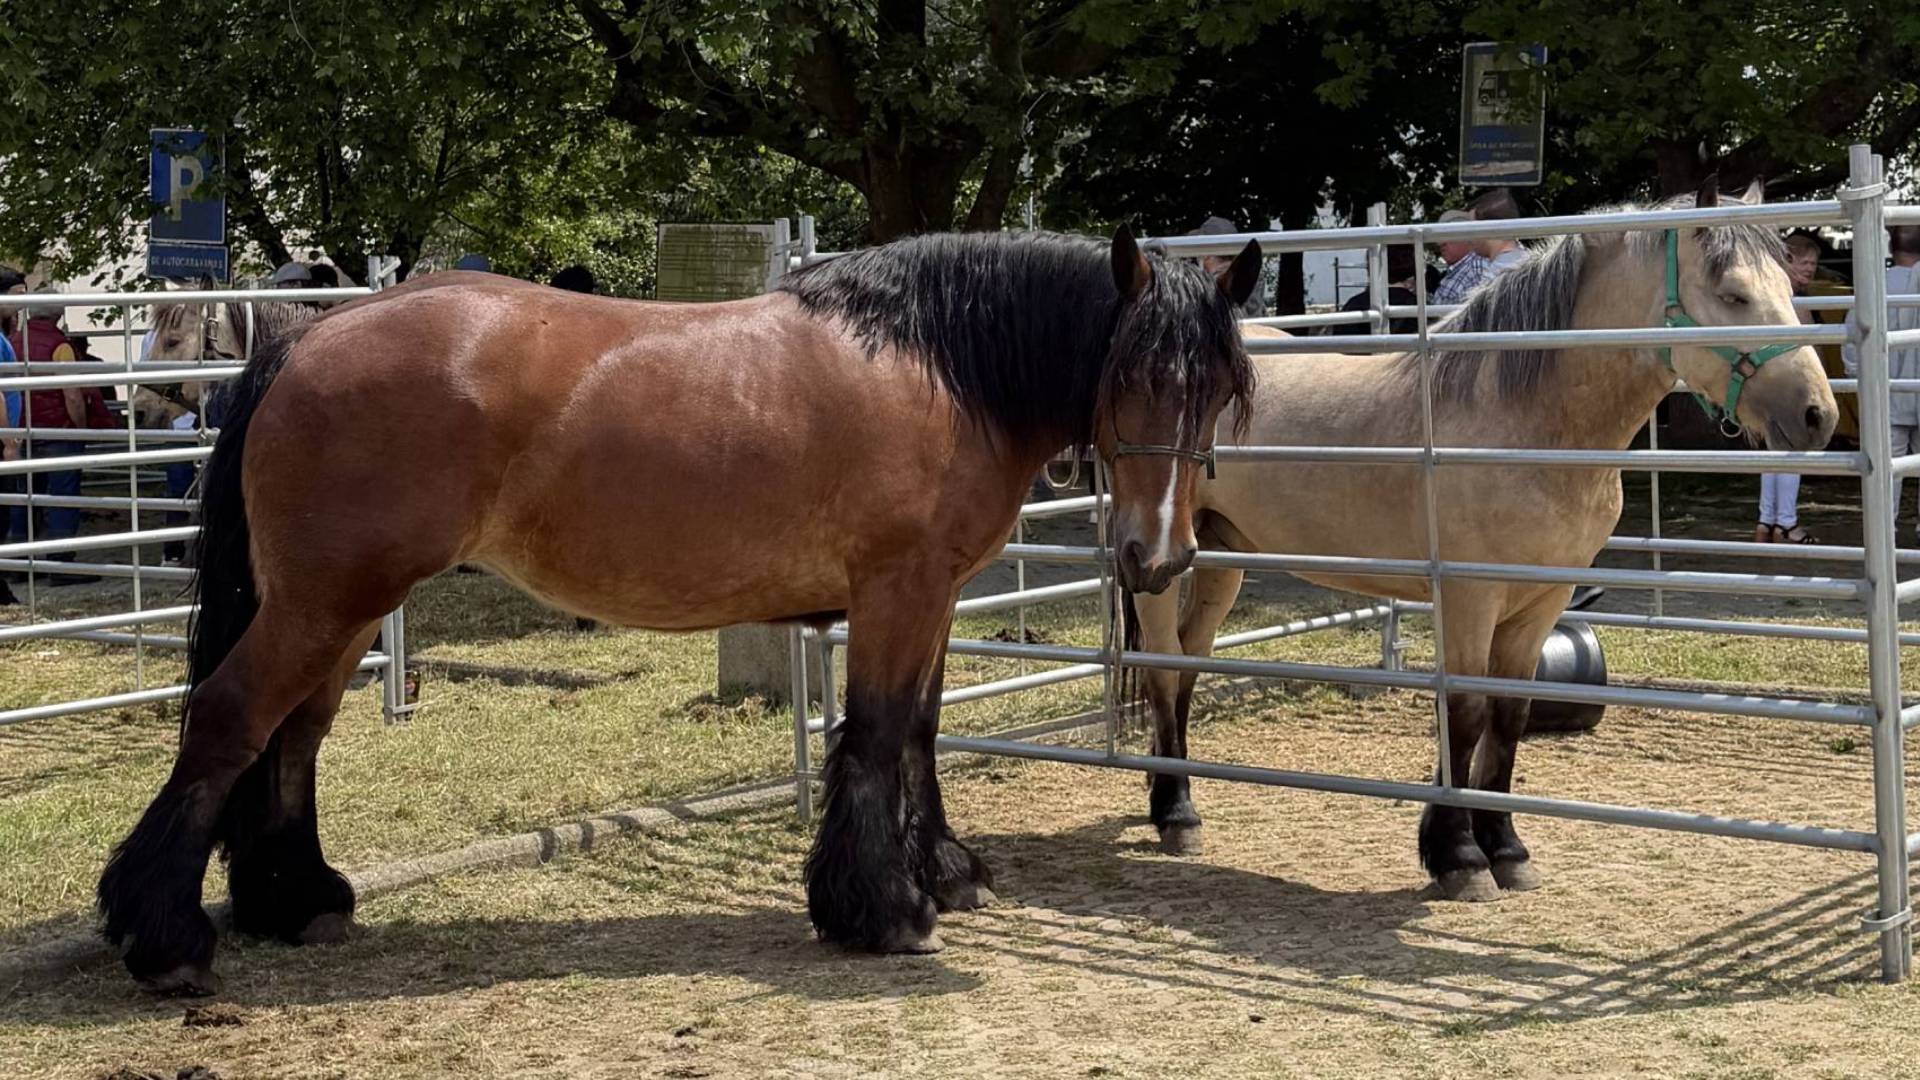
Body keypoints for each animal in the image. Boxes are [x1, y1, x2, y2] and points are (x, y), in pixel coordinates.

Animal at [96, 228, 1263, 995]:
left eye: (1215, 388)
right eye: (1129, 375)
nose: (1158, 555)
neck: (936, 360)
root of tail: (311, 340)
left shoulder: (930, 597)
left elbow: (921, 736)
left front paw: (943, 874)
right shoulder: (898, 590)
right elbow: (881, 735)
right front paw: (882, 912)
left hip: (336, 610)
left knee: (293, 739)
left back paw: (298, 903)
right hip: (325, 601)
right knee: (229, 723)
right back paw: (166, 941)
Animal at [1129, 179, 1837, 903]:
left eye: (1788, 285)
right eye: (1733, 293)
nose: (1817, 415)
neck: (1523, 424)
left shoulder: (1541, 602)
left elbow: (1509, 716)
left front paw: (1507, 849)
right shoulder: (1469, 599)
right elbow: (1465, 713)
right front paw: (1459, 857)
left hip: (1220, 558)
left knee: (1188, 660)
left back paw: (1170, 788)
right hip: (1159, 559)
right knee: (1161, 664)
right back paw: (1177, 814)